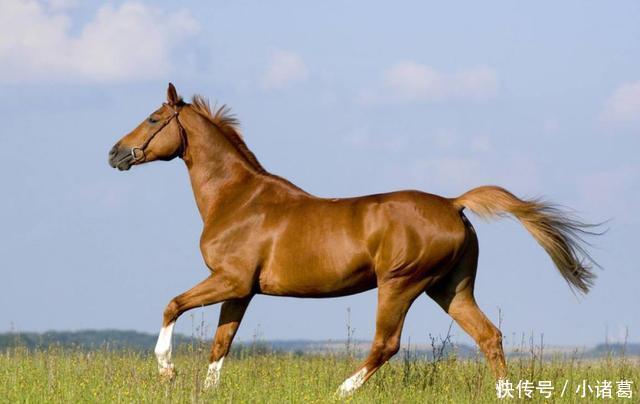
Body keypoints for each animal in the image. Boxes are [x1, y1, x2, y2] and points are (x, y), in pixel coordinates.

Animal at [107, 83, 596, 398]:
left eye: (153, 118)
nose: (114, 153)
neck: (239, 200)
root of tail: (453, 203)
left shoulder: (230, 280)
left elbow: (172, 305)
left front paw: (167, 370)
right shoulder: (242, 291)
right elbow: (221, 343)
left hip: (400, 284)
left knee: (387, 344)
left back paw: (340, 390)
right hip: (450, 288)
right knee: (489, 336)